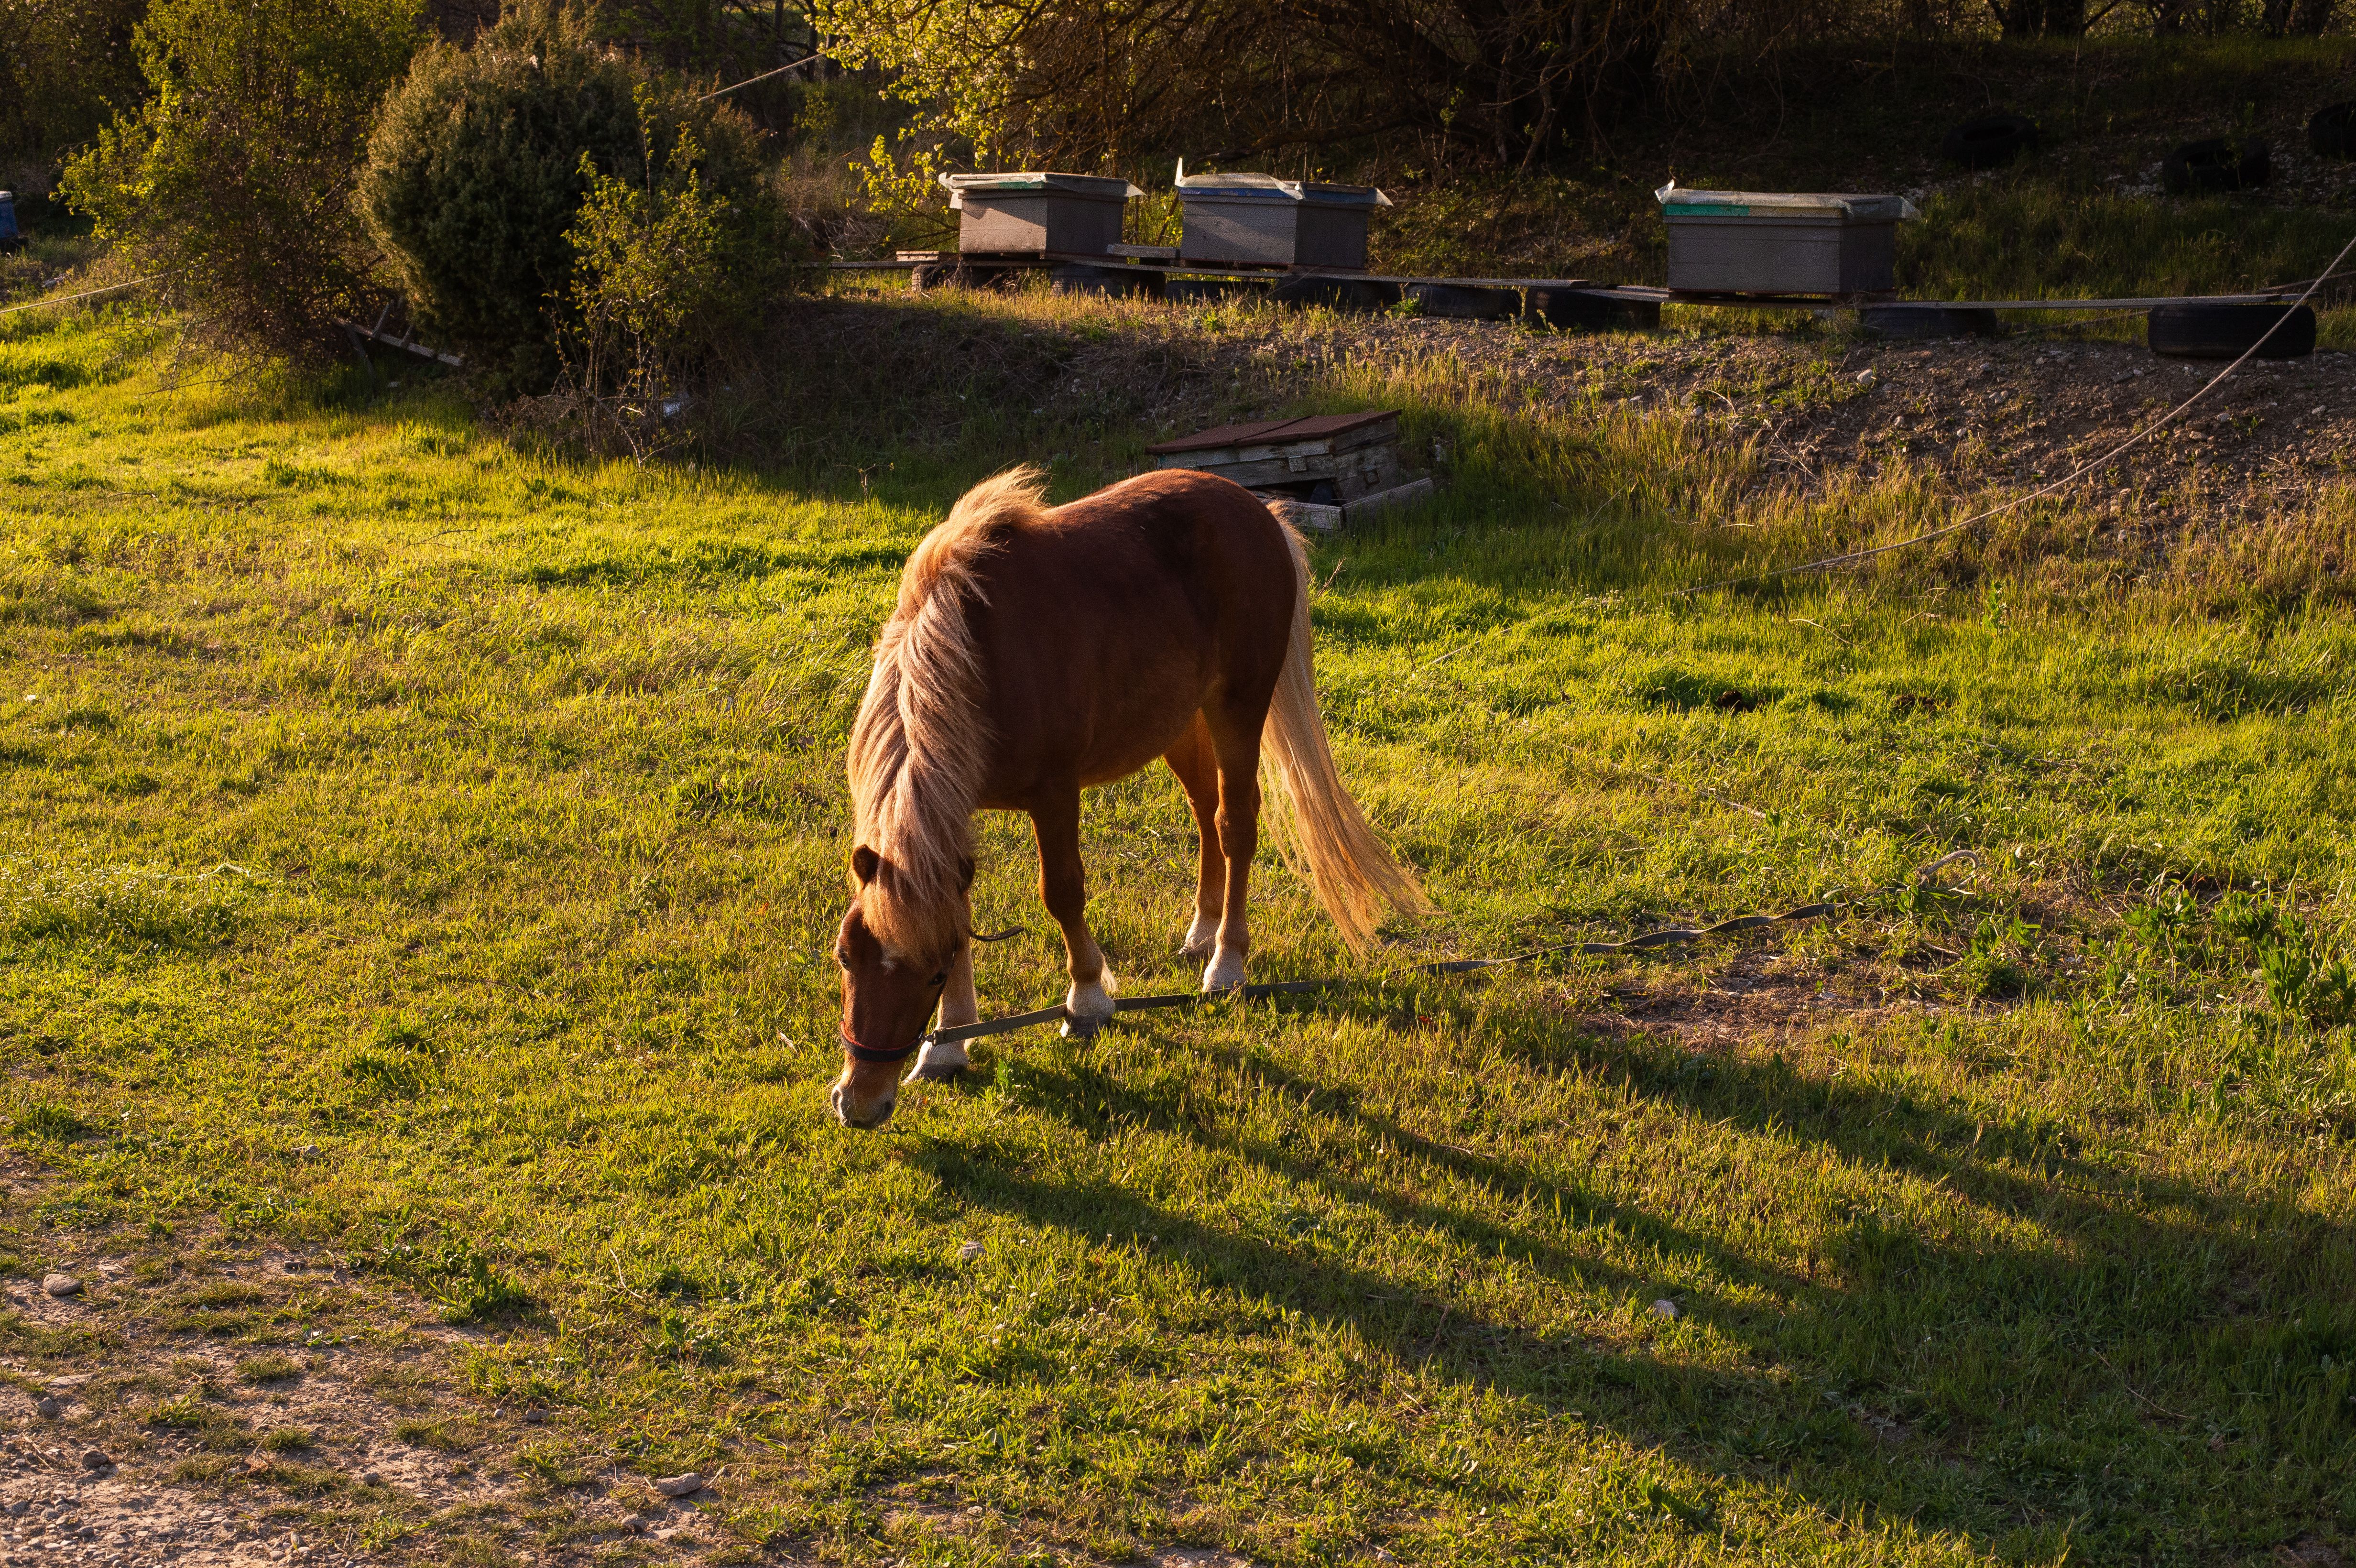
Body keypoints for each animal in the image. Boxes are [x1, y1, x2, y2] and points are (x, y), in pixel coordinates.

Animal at [828, 465, 1428, 1129]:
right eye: (845, 958)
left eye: (929, 973)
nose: (859, 1102)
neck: (975, 658)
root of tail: (1257, 511)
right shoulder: (954, 816)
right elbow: (955, 908)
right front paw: (949, 1046)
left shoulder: (1054, 794)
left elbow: (1063, 894)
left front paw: (1086, 999)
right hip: (1181, 722)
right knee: (1204, 815)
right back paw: (1202, 930)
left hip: (1238, 709)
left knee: (1235, 825)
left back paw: (1226, 962)